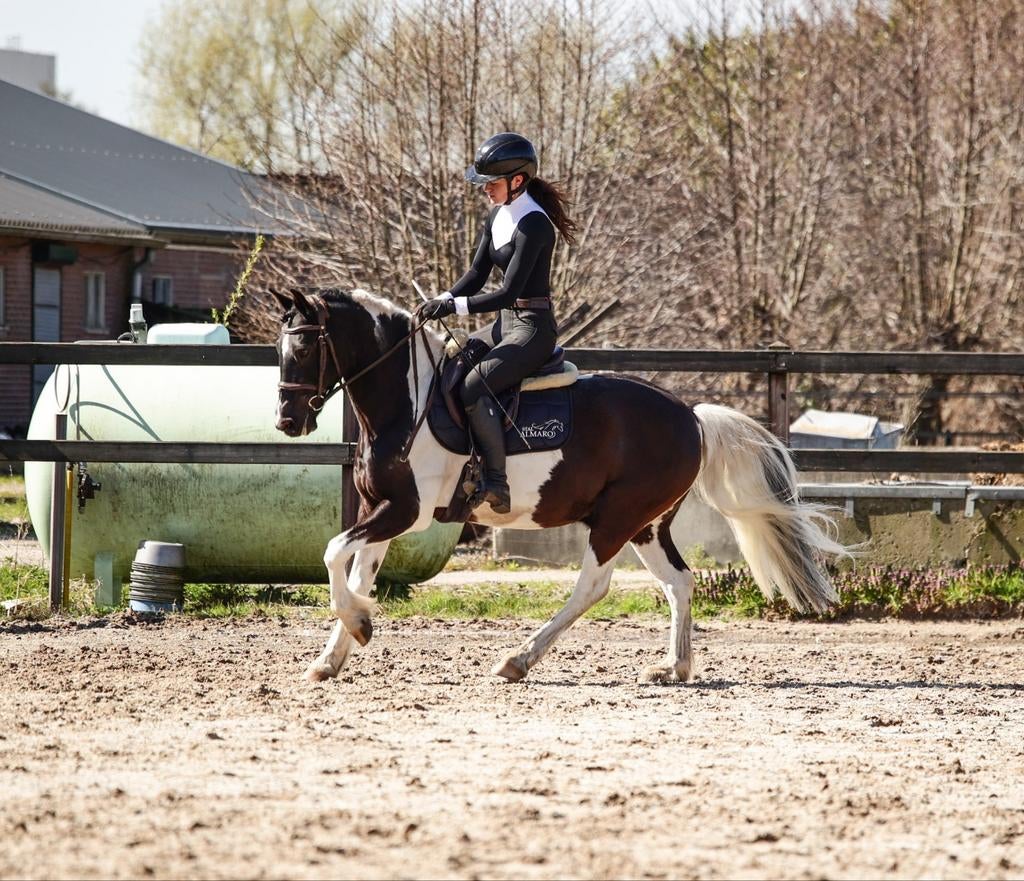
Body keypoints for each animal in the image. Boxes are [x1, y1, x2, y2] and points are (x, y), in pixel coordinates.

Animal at [273, 287, 846, 684]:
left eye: (304, 347)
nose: (286, 421)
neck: (407, 399)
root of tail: (691, 417)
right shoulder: (381, 508)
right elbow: (355, 572)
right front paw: (333, 656)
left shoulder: (404, 512)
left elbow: (332, 552)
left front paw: (359, 625)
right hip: (646, 526)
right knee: (679, 583)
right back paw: (673, 668)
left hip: (616, 520)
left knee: (593, 586)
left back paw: (518, 659)